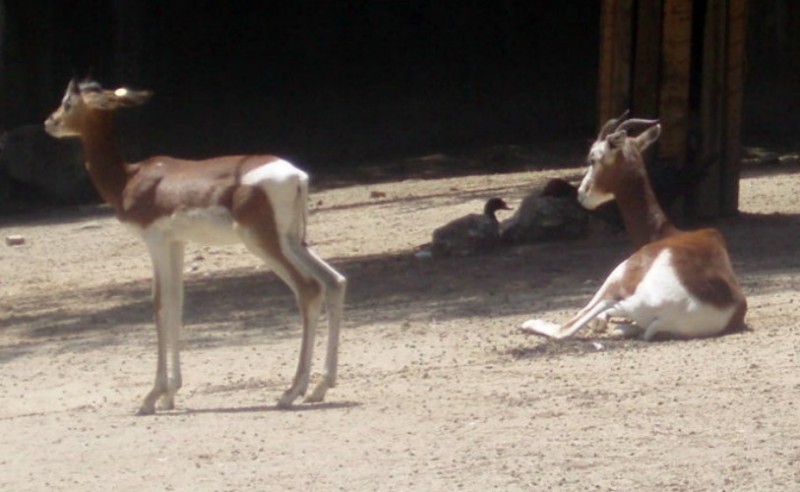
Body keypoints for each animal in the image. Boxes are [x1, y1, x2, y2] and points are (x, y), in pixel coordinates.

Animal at [44, 78, 346, 414]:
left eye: (68, 102)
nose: (50, 123)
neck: (129, 179)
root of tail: (298, 176)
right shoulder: (177, 242)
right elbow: (177, 301)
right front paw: (170, 395)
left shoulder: (155, 240)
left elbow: (159, 303)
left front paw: (152, 396)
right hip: (292, 241)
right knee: (334, 282)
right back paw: (320, 387)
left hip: (262, 242)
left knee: (309, 289)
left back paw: (290, 392)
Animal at [521, 114, 747, 341]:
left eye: (592, 158)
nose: (582, 194)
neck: (663, 232)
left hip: (616, 277)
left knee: (570, 326)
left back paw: (531, 323)